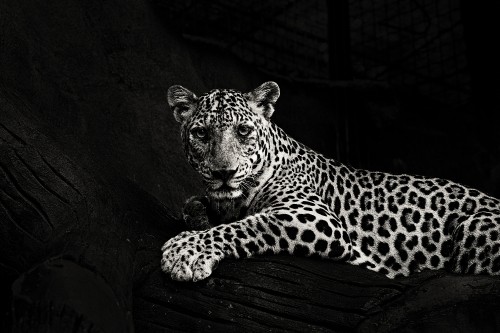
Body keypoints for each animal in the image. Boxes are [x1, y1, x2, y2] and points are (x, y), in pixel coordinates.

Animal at [161, 80, 500, 280]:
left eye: (243, 131)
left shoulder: (313, 216)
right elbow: (196, 206)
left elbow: (249, 225)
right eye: (201, 133)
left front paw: (185, 251)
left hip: (474, 228)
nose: (224, 173)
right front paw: (199, 218)